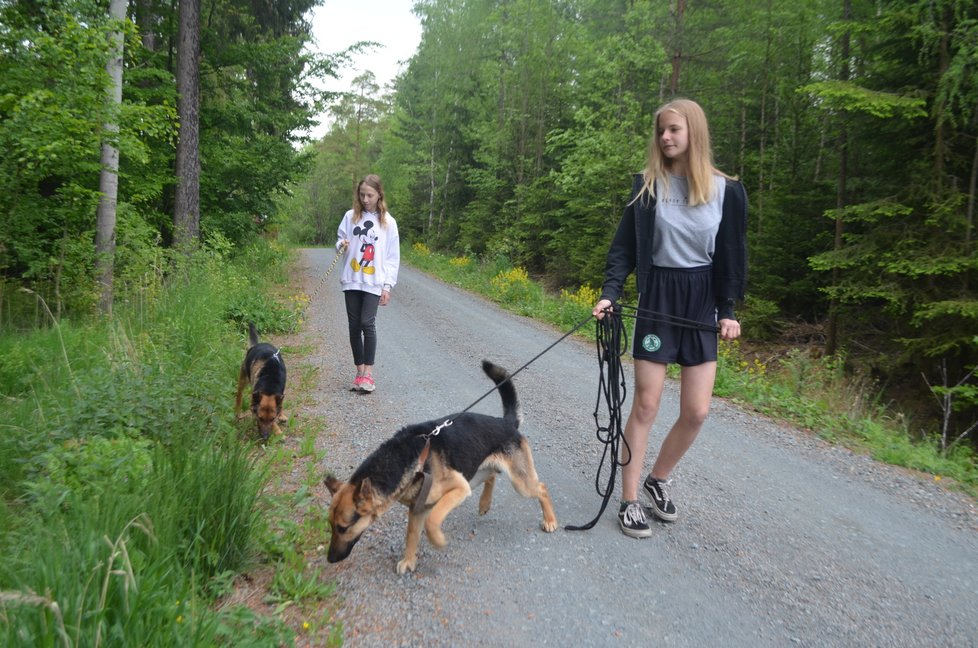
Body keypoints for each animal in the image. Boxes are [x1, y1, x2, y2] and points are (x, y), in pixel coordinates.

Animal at [324, 356, 556, 576]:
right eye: (331, 526)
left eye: (343, 528)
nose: (330, 559)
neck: (408, 459)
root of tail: (506, 422)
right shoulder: (418, 508)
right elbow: (412, 535)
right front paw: (409, 561)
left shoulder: (457, 490)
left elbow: (432, 521)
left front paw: (437, 540)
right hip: (475, 475)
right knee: (491, 476)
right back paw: (485, 503)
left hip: (518, 483)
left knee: (542, 489)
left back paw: (550, 520)